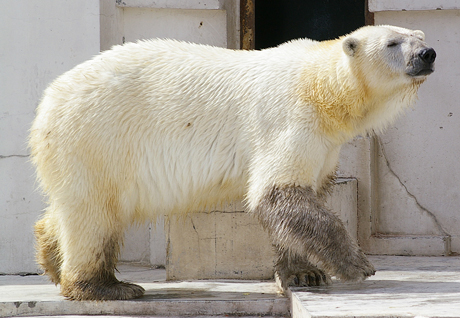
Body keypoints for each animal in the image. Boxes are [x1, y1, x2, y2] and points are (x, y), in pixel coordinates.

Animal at [28, 25, 434, 300]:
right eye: (392, 43)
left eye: (419, 34)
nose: (427, 54)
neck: (319, 87)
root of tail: (48, 99)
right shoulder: (289, 119)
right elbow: (278, 192)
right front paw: (357, 265)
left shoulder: (325, 143)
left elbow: (299, 200)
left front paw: (304, 274)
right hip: (98, 138)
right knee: (94, 216)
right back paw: (107, 287)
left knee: (75, 208)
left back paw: (51, 258)